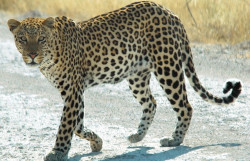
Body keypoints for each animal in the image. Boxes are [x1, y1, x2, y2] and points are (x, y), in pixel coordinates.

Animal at [7, 0, 242, 160]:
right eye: (22, 39)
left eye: (41, 39)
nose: (32, 55)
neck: (49, 57)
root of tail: (170, 12)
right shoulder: (73, 92)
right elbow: (77, 124)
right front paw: (97, 142)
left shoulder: (72, 91)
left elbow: (66, 125)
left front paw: (58, 152)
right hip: (137, 75)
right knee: (151, 103)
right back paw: (137, 136)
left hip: (168, 67)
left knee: (185, 105)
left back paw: (174, 139)